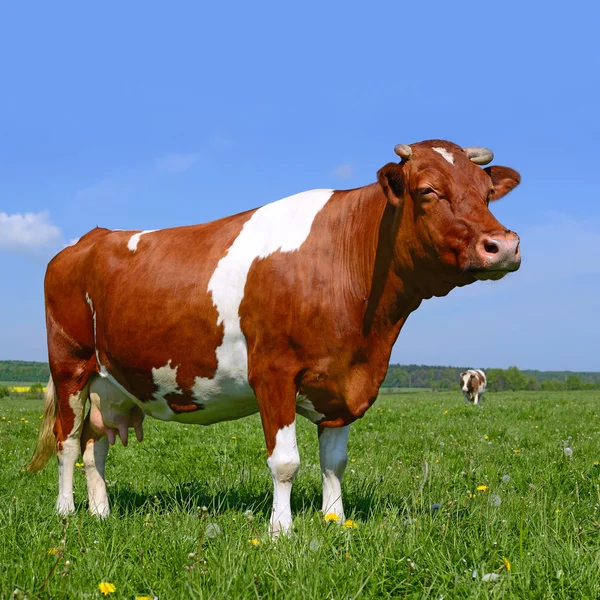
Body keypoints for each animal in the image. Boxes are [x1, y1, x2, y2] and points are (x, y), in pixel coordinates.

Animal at [28, 141, 520, 536]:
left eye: (487, 192)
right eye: (428, 190)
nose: (504, 245)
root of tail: (86, 239)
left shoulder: (341, 382)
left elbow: (334, 462)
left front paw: (334, 520)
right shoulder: (274, 373)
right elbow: (285, 462)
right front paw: (280, 530)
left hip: (109, 384)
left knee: (96, 447)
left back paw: (101, 513)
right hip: (71, 366)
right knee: (68, 443)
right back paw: (66, 512)